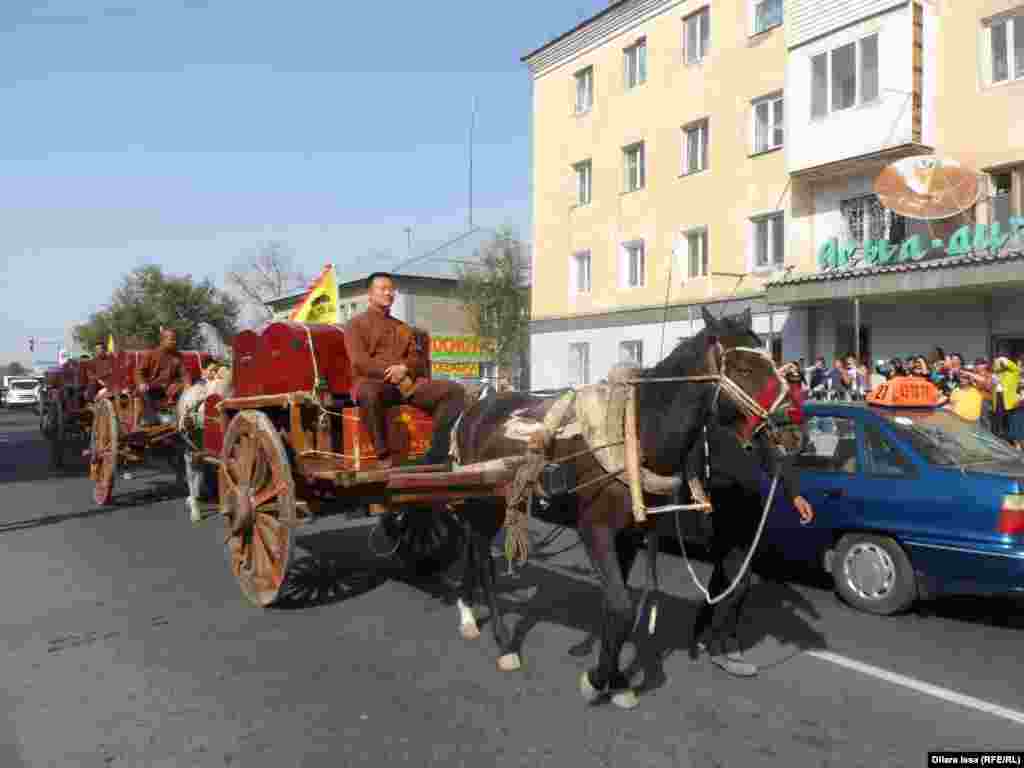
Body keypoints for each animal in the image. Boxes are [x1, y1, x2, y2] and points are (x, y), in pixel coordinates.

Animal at [444, 305, 794, 708]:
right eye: (742, 368)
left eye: (770, 360)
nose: (790, 427)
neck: (632, 433)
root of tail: (476, 407)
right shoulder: (594, 530)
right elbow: (623, 606)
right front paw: (596, 680)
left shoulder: (628, 535)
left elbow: (617, 605)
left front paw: (617, 679)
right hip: (484, 503)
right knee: (482, 559)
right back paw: (502, 642)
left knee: (474, 550)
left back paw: (470, 612)